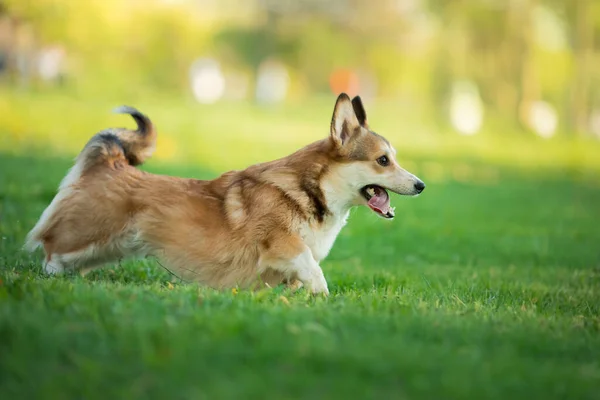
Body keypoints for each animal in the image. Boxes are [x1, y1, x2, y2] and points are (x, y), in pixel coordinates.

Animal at [24, 93, 426, 294]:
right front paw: (323, 297)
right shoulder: (281, 243)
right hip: (89, 233)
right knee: (51, 245)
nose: (421, 185)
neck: (312, 190)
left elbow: (301, 276)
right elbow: (312, 268)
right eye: (383, 160)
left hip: (110, 246)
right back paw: (48, 276)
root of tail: (112, 162)